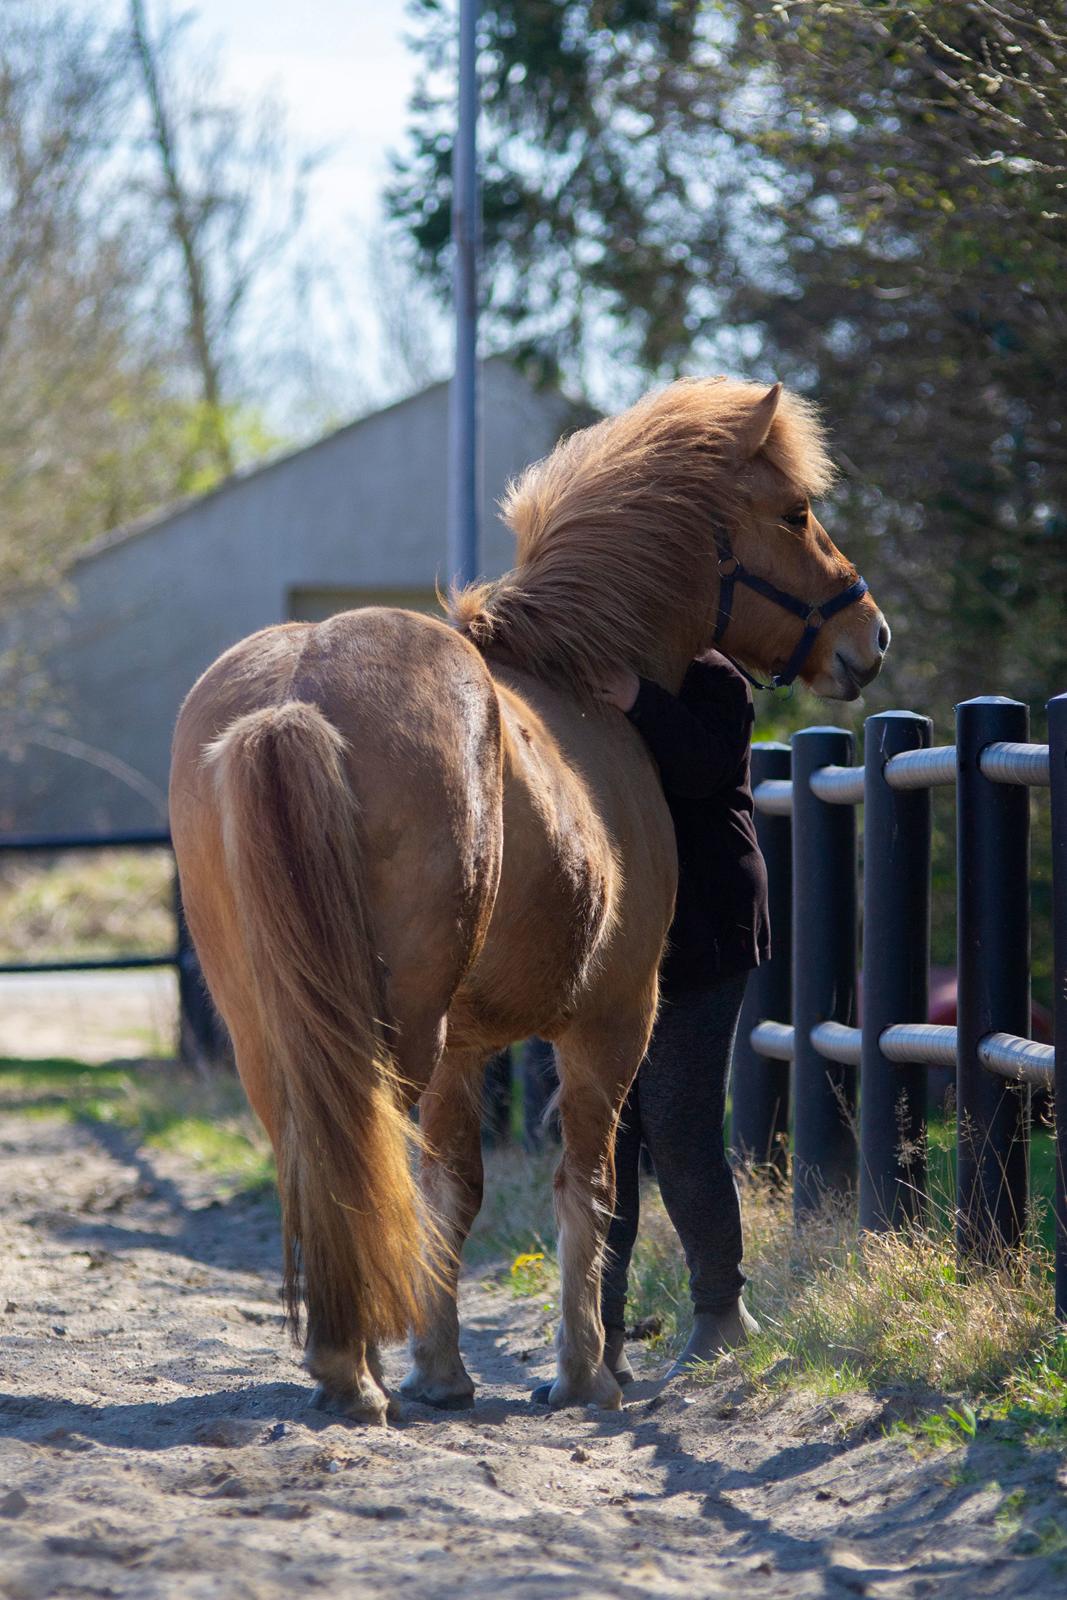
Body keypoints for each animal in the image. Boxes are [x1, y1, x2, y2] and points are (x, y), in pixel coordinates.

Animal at [171, 377, 889, 1427]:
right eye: (796, 513)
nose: (868, 635)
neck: (584, 684)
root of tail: (299, 687)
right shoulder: (612, 1019)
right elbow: (587, 1183)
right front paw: (584, 1371)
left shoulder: (466, 1046)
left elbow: (452, 1191)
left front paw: (442, 1370)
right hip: (404, 1027)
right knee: (363, 1147)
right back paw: (354, 1370)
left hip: (273, 1027)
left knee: (318, 1153)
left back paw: (354, 1358)